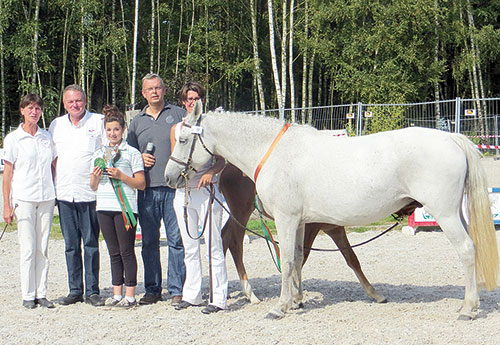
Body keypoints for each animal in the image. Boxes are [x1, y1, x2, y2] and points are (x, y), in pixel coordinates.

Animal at [166, 102, 498, 320]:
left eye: (182, 139)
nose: (169, 177)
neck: (274, 153)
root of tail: (450, 138)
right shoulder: (302, 222)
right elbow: (297, 257)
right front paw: (296, 301)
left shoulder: (287, 219)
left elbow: (289, 261)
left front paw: (280, 307)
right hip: (456, 213)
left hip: (445, 214)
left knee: (467, 249)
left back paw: (469, 308)